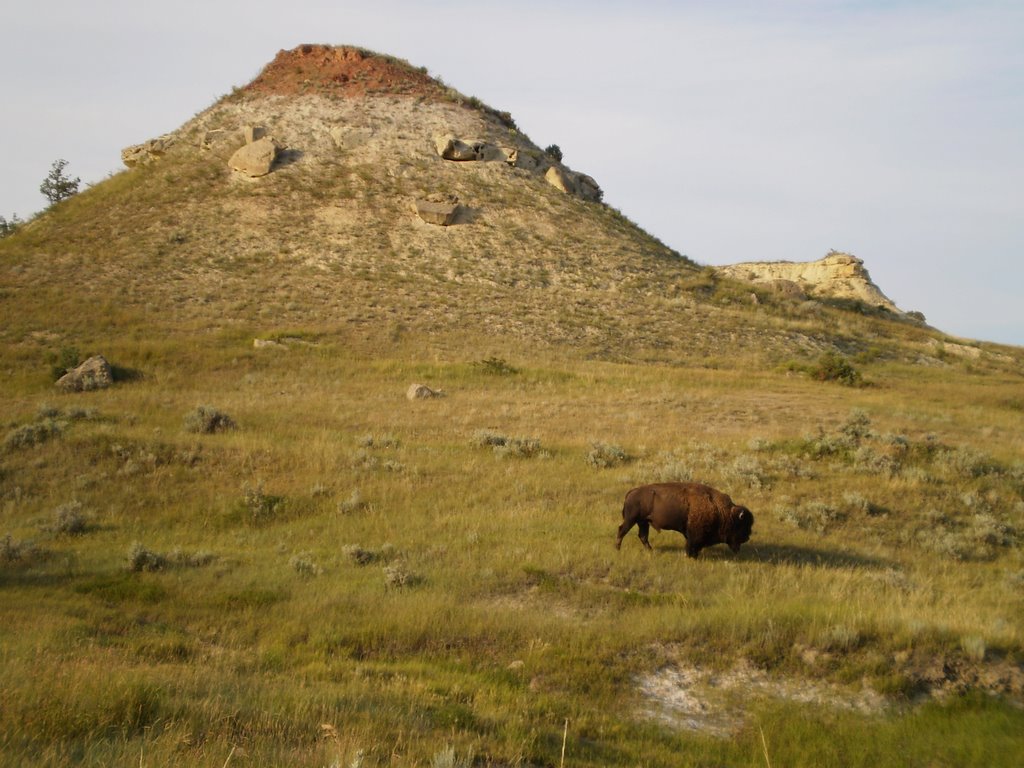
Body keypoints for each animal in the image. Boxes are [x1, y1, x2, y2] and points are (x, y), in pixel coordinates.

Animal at [614, 481, 753, 561]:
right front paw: (691, 557)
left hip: (643, 522)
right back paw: (617, 549)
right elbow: (692, 546)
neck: (722, 512)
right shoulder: (694, 535)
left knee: (642, 536)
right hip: (631, 519)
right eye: (742, 525)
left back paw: (651, 551)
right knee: (622, 530)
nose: (747, 537)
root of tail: (632, 492)